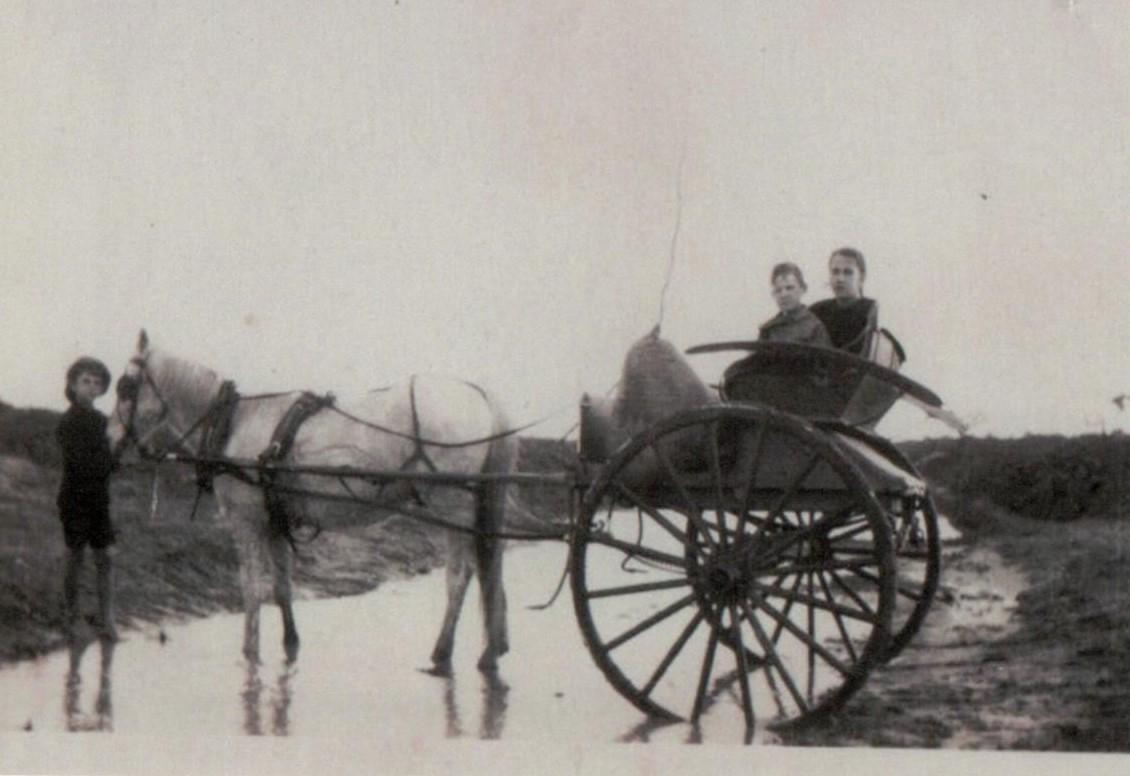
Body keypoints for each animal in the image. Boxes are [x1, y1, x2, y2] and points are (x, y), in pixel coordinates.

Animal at [105, 329, 513, 673]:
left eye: (126, 388)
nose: (108, 442)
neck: (236, 423)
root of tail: (477, 392)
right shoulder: (275, 520)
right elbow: (281, 585)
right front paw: (290, 644)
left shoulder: (246, 521)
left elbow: (251, 587)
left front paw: (250, 653)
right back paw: (489, 651)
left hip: (452, 506)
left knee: (459, 576)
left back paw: (442, 652)